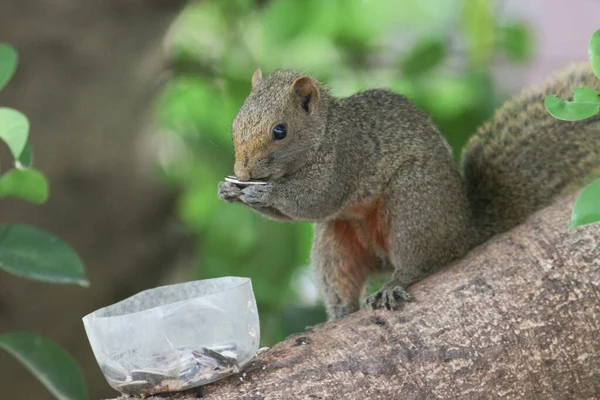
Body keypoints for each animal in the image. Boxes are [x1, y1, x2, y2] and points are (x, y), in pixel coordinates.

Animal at [218, 62, 600, 320]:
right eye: (235, 122)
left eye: (280, 130)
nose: (244, 172)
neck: (326, 132)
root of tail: (465, 231)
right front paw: (229, 190)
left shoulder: (345, 159)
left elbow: (314, 200)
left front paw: (262, 194)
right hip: (337, 241)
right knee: (341, 281)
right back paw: (340, 313)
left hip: (411, 208)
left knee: (417, 264)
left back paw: (393, 286)